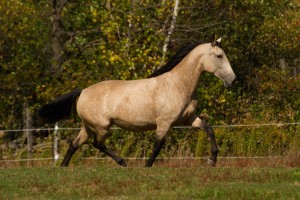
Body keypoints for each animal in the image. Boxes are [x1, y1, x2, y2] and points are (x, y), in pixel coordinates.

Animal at [38, 37, 234, 167]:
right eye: (219, 56)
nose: (232, 80)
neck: (178, 85)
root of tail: (83, 91)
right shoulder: (164, 123)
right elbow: (157, 147)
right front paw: (147, 167)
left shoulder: (188, 119)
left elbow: (209, 128)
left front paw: (212, 159)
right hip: (102, 127)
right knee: (97, 144)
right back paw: (123, 162)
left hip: (88, 127)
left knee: (74, 144)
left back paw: (63, 168)